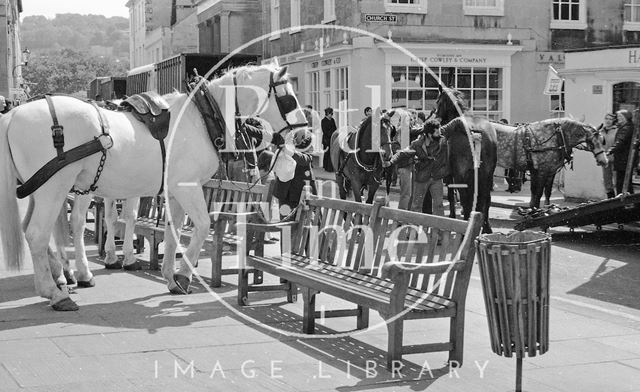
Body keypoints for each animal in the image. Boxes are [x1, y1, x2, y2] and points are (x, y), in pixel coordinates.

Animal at [0, 62, 306, 310]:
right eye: (289, 98)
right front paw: (183, 275)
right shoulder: (187, 186)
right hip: (55, 187)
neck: (203, 117)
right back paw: (56, 292)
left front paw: (171, 277)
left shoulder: (174, 189)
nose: (305, 136)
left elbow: (173, 230)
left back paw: (58, 277)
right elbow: (202, 225)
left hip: (43, 189)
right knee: (39, 233)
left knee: (34, 229)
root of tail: (13, 115)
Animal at [438, 86, 498, 233]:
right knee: (485, 198)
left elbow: (452, 195)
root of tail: (475, 131)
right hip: (487, 175)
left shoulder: (451, 175)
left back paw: (466, 223)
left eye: (438, 102)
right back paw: (485, 226)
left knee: (466, 198)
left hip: (461, 174)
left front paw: (452, 215)